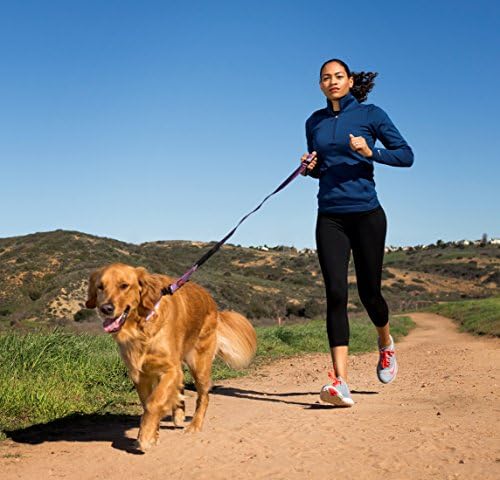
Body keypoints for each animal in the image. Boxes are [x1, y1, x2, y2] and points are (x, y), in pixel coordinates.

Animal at [85, 262, 256, 450]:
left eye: (124, 286)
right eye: (100, 287)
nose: (105, 308)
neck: (142, 326)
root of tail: (211, 301)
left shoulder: (169, 368)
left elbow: (154, 402)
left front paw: (146, 437)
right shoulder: (140, 373)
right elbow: (147, 402)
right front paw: (153, 432)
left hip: (199, 364)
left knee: (204, 396)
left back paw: (194, 425)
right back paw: (179, 413)